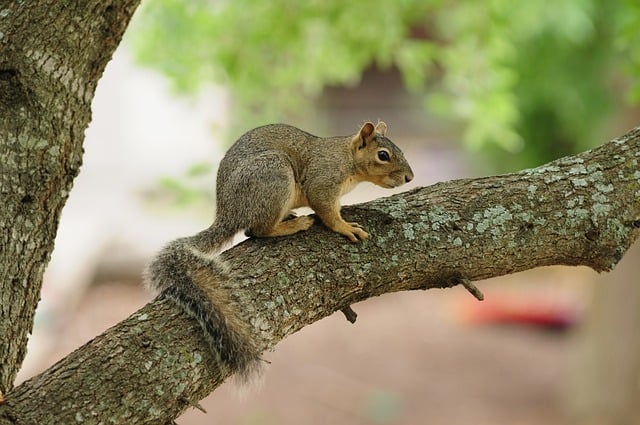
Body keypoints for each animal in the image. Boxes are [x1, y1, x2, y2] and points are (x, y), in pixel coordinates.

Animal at [144, 121, 414, 382]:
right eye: (383, 155)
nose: (410, 177)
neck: (347, 158)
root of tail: (229, 213)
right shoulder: (322, 180)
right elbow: (327, 211)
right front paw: (345, 227)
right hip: (274, 176)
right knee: (257, 230)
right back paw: (294, 224)